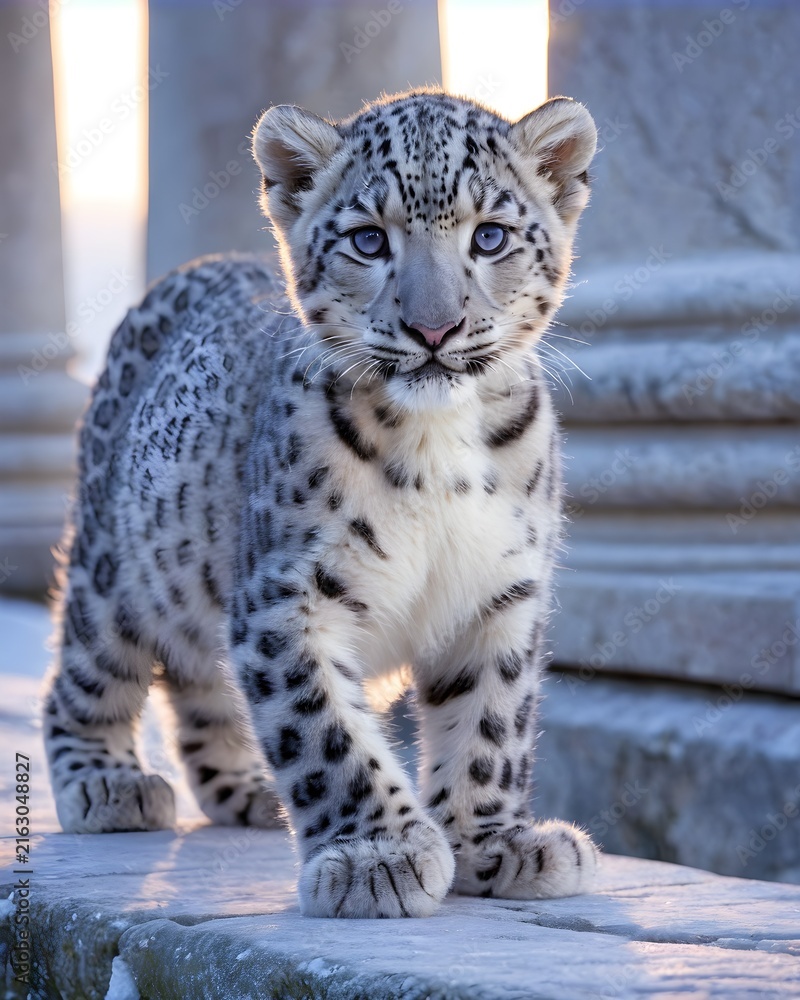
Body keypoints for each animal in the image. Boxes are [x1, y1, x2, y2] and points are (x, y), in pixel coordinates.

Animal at [42, 88, 599, 918]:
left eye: (490, 236)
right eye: (369, 240)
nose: (434, 328)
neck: (439, 444)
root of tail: (196, 267)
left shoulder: (499, 593)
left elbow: (491, 723)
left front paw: (492, 844)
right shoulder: (287, 594)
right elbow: (325, 732)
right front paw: (380, 858)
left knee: (205, 684)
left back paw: (245, 788)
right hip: (117, 569)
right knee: (89, 672)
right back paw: (107, 784)